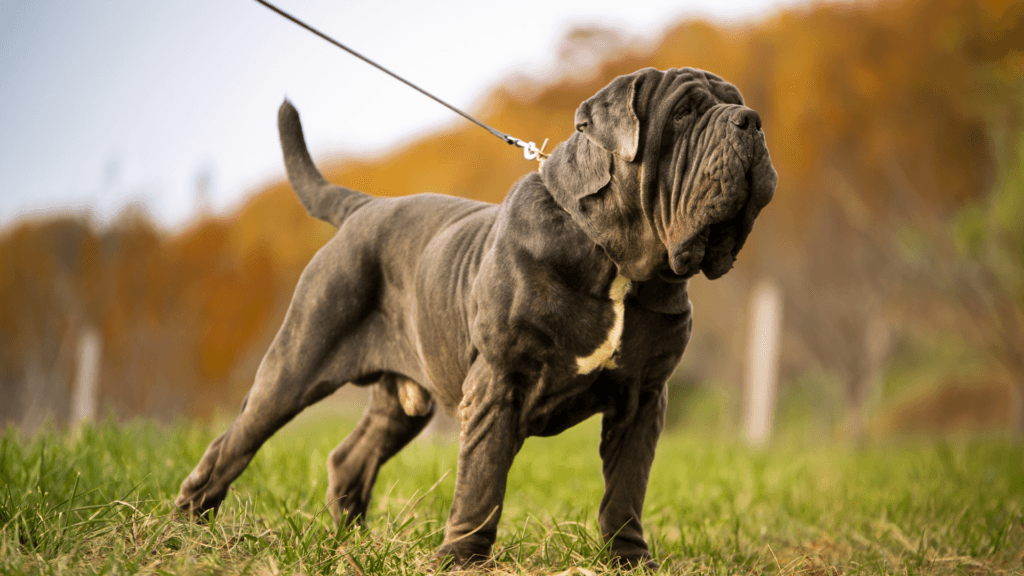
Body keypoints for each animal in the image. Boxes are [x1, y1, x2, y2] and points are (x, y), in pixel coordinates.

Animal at [174, 66, 774, 565]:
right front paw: (462, 558)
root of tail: (364, 206)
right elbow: (482, 479)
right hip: (295, 363)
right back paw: (186, 530)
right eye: (684, 113)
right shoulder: (499, 382)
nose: (751, 121)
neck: (615, 260)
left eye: (736, 104)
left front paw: (629, 560)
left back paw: (353, 543)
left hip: (402, 402)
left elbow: (626, 487)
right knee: (233, 444)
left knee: (350, 458)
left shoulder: (643, 397)